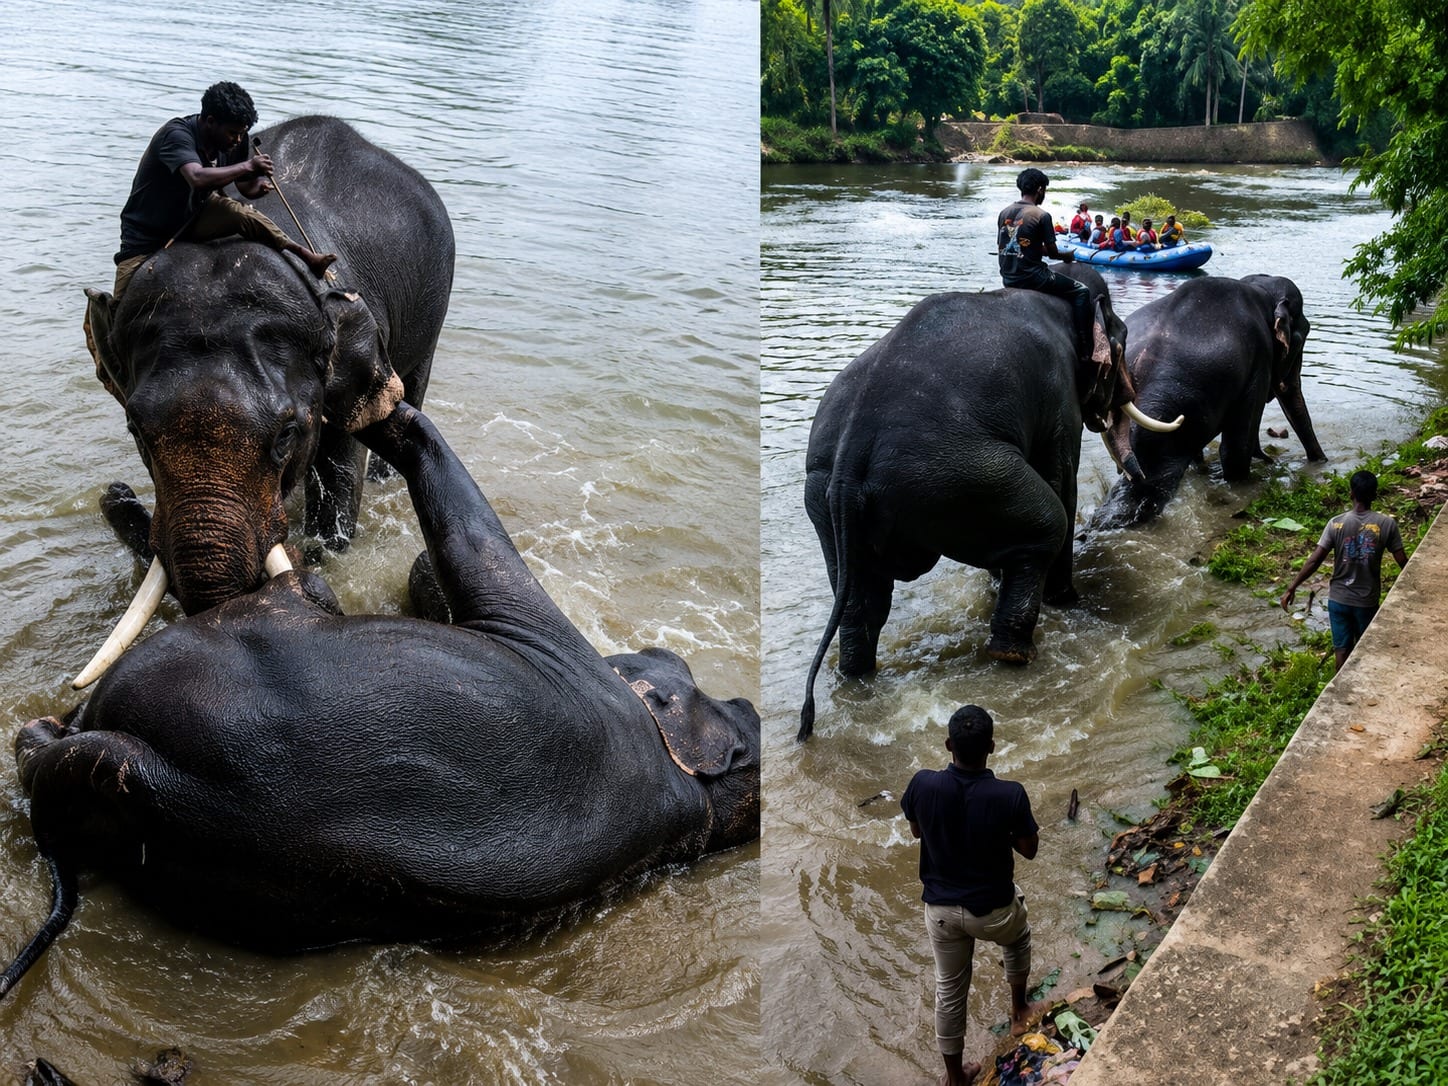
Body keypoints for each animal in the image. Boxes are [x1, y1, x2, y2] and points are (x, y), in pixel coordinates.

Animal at [799, 265, 1183, 739]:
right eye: (1123, 341)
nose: (1135, 477)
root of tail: (854, 443)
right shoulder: (1058, 402)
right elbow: (1062, 479)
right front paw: (1067, 601)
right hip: (961, 475)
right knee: (1048, 523)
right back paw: (1015, 653)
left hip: (830, 496)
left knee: (861, 600)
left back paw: (858, 674)